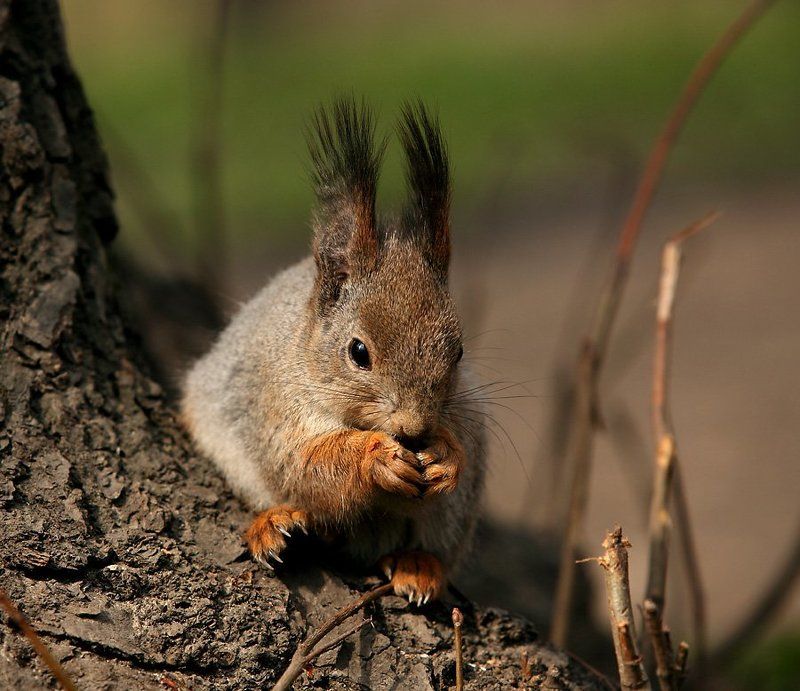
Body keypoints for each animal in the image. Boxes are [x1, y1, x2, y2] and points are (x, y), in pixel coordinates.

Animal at [181, 98, 486, 604]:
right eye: (358, 352)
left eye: (459, 352)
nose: (416, 431)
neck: (307, 351)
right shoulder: (276, 405)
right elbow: (305, 466)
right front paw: (374, 457)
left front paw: (445, 456)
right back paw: (277, 526)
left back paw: (418, 562)